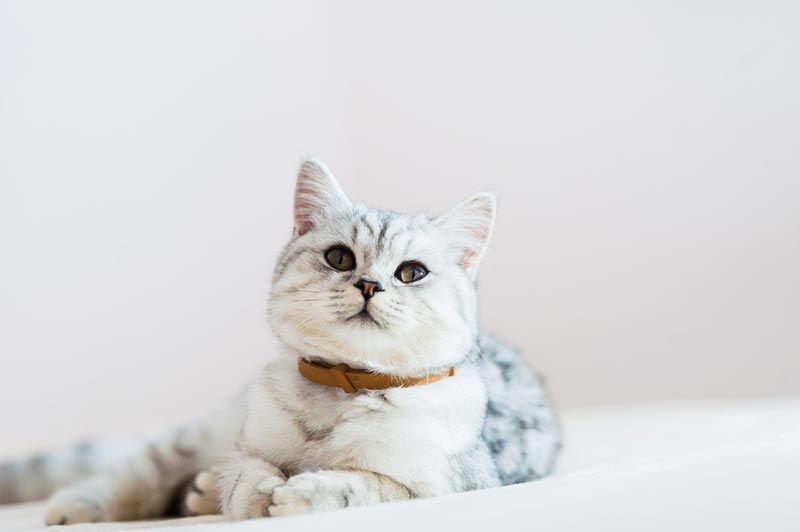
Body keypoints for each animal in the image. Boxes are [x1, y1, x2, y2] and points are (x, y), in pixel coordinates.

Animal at [0, 158, 564, 524]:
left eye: (411, 272)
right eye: (339, 258)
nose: (369, 285)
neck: (344, 387)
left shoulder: (445, 484)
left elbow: (369, 486)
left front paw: (301, 494)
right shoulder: (249, 442)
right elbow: (246, 471)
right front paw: (256, 493)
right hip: (199, 434)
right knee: (142, 472)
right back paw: (86, 506)